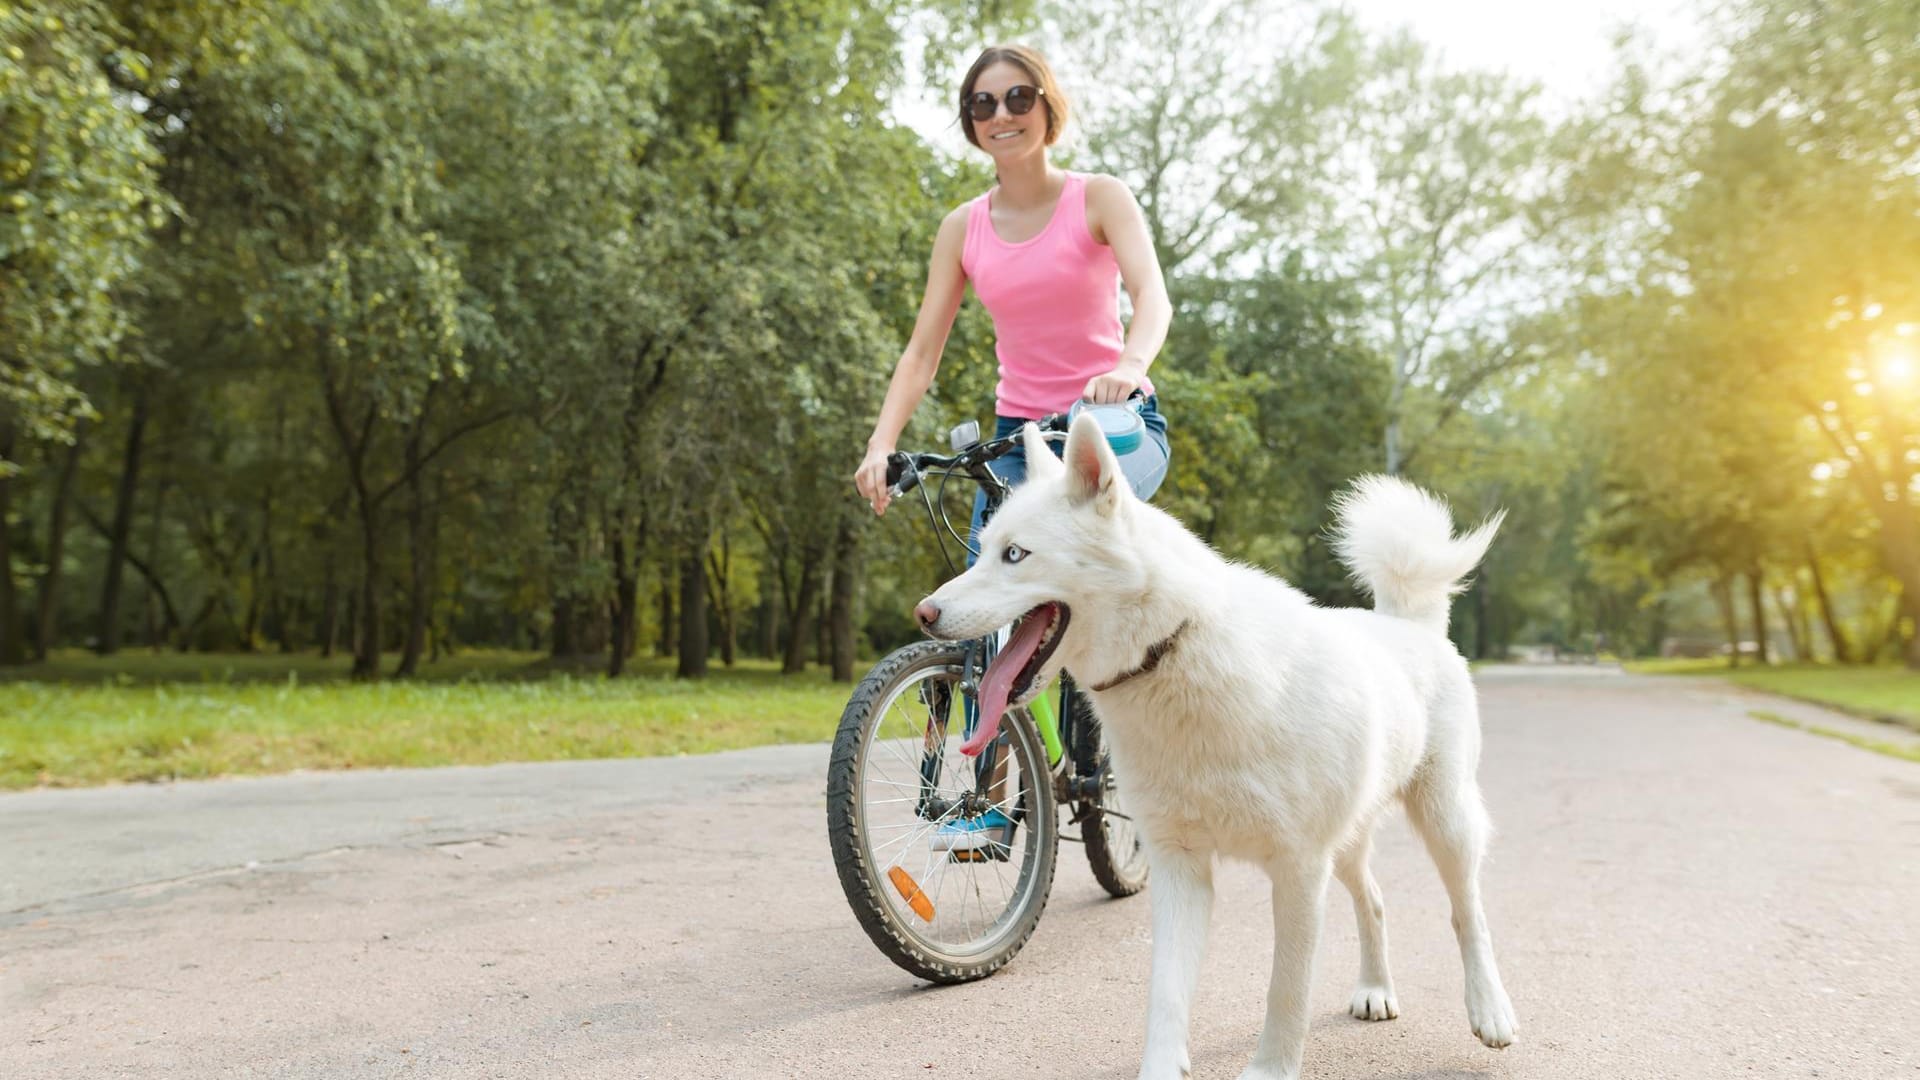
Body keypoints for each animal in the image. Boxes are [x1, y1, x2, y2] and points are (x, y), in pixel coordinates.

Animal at [913, 413, 1512, 1076]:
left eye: (1014, 554)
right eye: (985, 548)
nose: (923, 612)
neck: (1171, 650)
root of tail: (1407, 621)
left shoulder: (1299, 869)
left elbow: (1287, 991)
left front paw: (1270, 1069)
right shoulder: (1180, 868)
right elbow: (1167, 993)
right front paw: (1161, 1065)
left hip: (1444, 821)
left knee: (1469, 914)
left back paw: (1490, 1011)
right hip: (1349, 841)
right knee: (1375, 901)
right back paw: (1376, 991)